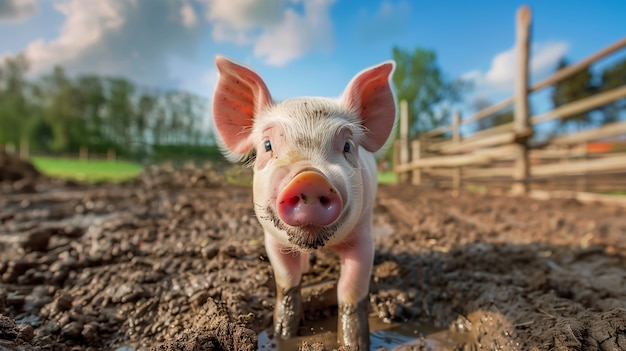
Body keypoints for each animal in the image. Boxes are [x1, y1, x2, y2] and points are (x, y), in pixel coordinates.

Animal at [210, 55, 394, 350]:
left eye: (347, 146)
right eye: (267, 145)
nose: (310, 178)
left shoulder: (364, 236)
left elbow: (350, 290)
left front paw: (354, 344)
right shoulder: (272, 240)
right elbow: (287, 281)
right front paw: (283, 335)